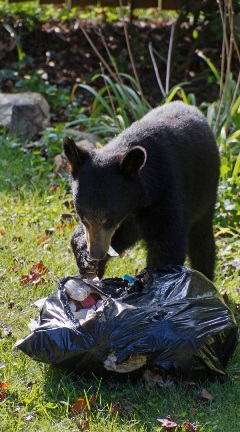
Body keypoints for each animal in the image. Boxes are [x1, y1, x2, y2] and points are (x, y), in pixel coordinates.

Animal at [63, 103, 219, 282]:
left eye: (110, 219)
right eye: (82, 217)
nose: (95, 254)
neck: (138, 202)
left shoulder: (167, 194)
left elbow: (168, 244)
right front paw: (86, 261)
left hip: (205, 194)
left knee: (202, 241)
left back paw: (204, 275)